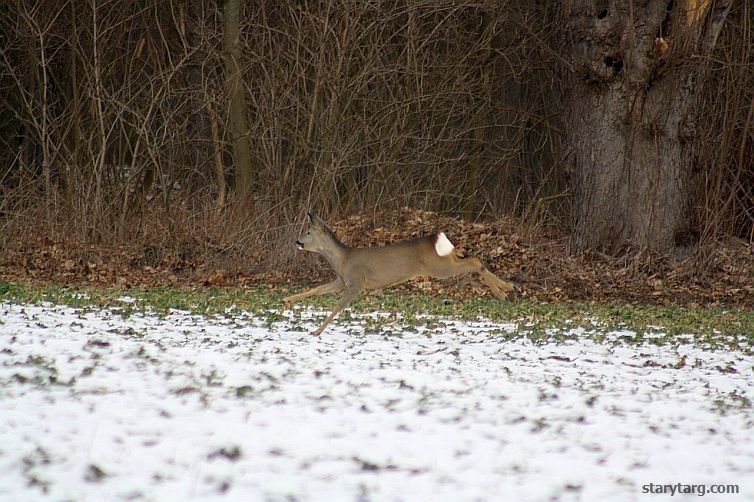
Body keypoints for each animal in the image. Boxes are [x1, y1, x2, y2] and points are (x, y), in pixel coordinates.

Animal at [282, 212, 512, 334]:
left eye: (308, 232)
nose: (296, 241)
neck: (342, 260)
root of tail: (432, 239)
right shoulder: (341, 281)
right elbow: (317, 289)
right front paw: (287, 300)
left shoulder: (356, 283)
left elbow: (338, 306)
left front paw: (317, 331)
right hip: (444, 261)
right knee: (472, 259)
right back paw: (506, 288)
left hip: (439, 268)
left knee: (474, 262)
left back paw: (504, 291)